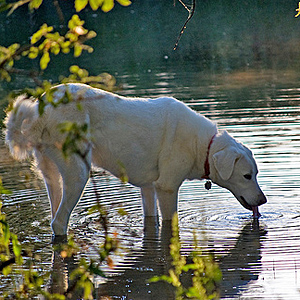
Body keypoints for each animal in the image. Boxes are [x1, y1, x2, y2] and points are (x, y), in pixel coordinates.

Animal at [4, 83, 268, 236]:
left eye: (256, 174)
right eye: (246, 176)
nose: (264, 201)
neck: (203, 145)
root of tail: (41, 110)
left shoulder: (148, 188)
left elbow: (152, 220)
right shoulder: (167, 188)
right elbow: (170, 222)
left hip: (52, 175)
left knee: (54, 217)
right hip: (77, 174)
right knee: (59, 222)